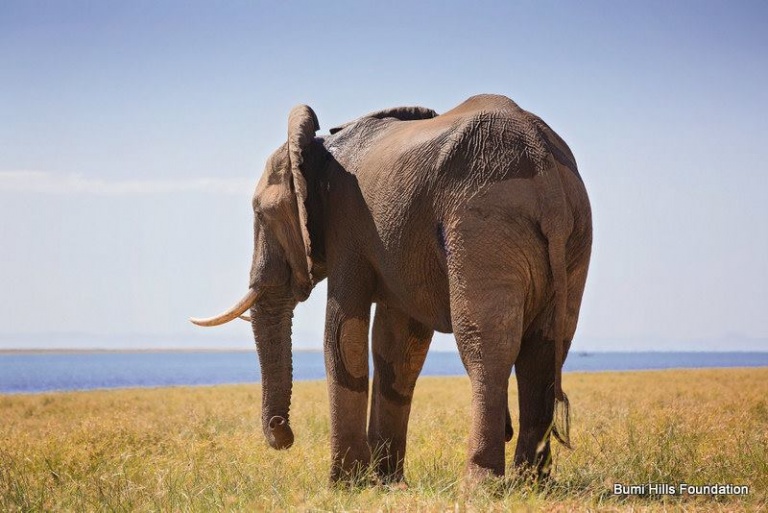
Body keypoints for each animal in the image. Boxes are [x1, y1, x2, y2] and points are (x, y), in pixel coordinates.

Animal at [191, 94, 592, 484]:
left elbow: (342, 335)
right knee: (546, 348)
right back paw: (532, 485)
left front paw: (344, 485)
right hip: (573, 237)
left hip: (484, 221)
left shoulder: (347, 227)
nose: (283, 435)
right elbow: (398, 347)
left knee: (487, 344)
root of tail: (542, 161)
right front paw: (385, 483)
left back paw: (480, 486)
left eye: (261, 214)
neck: (318, 150)